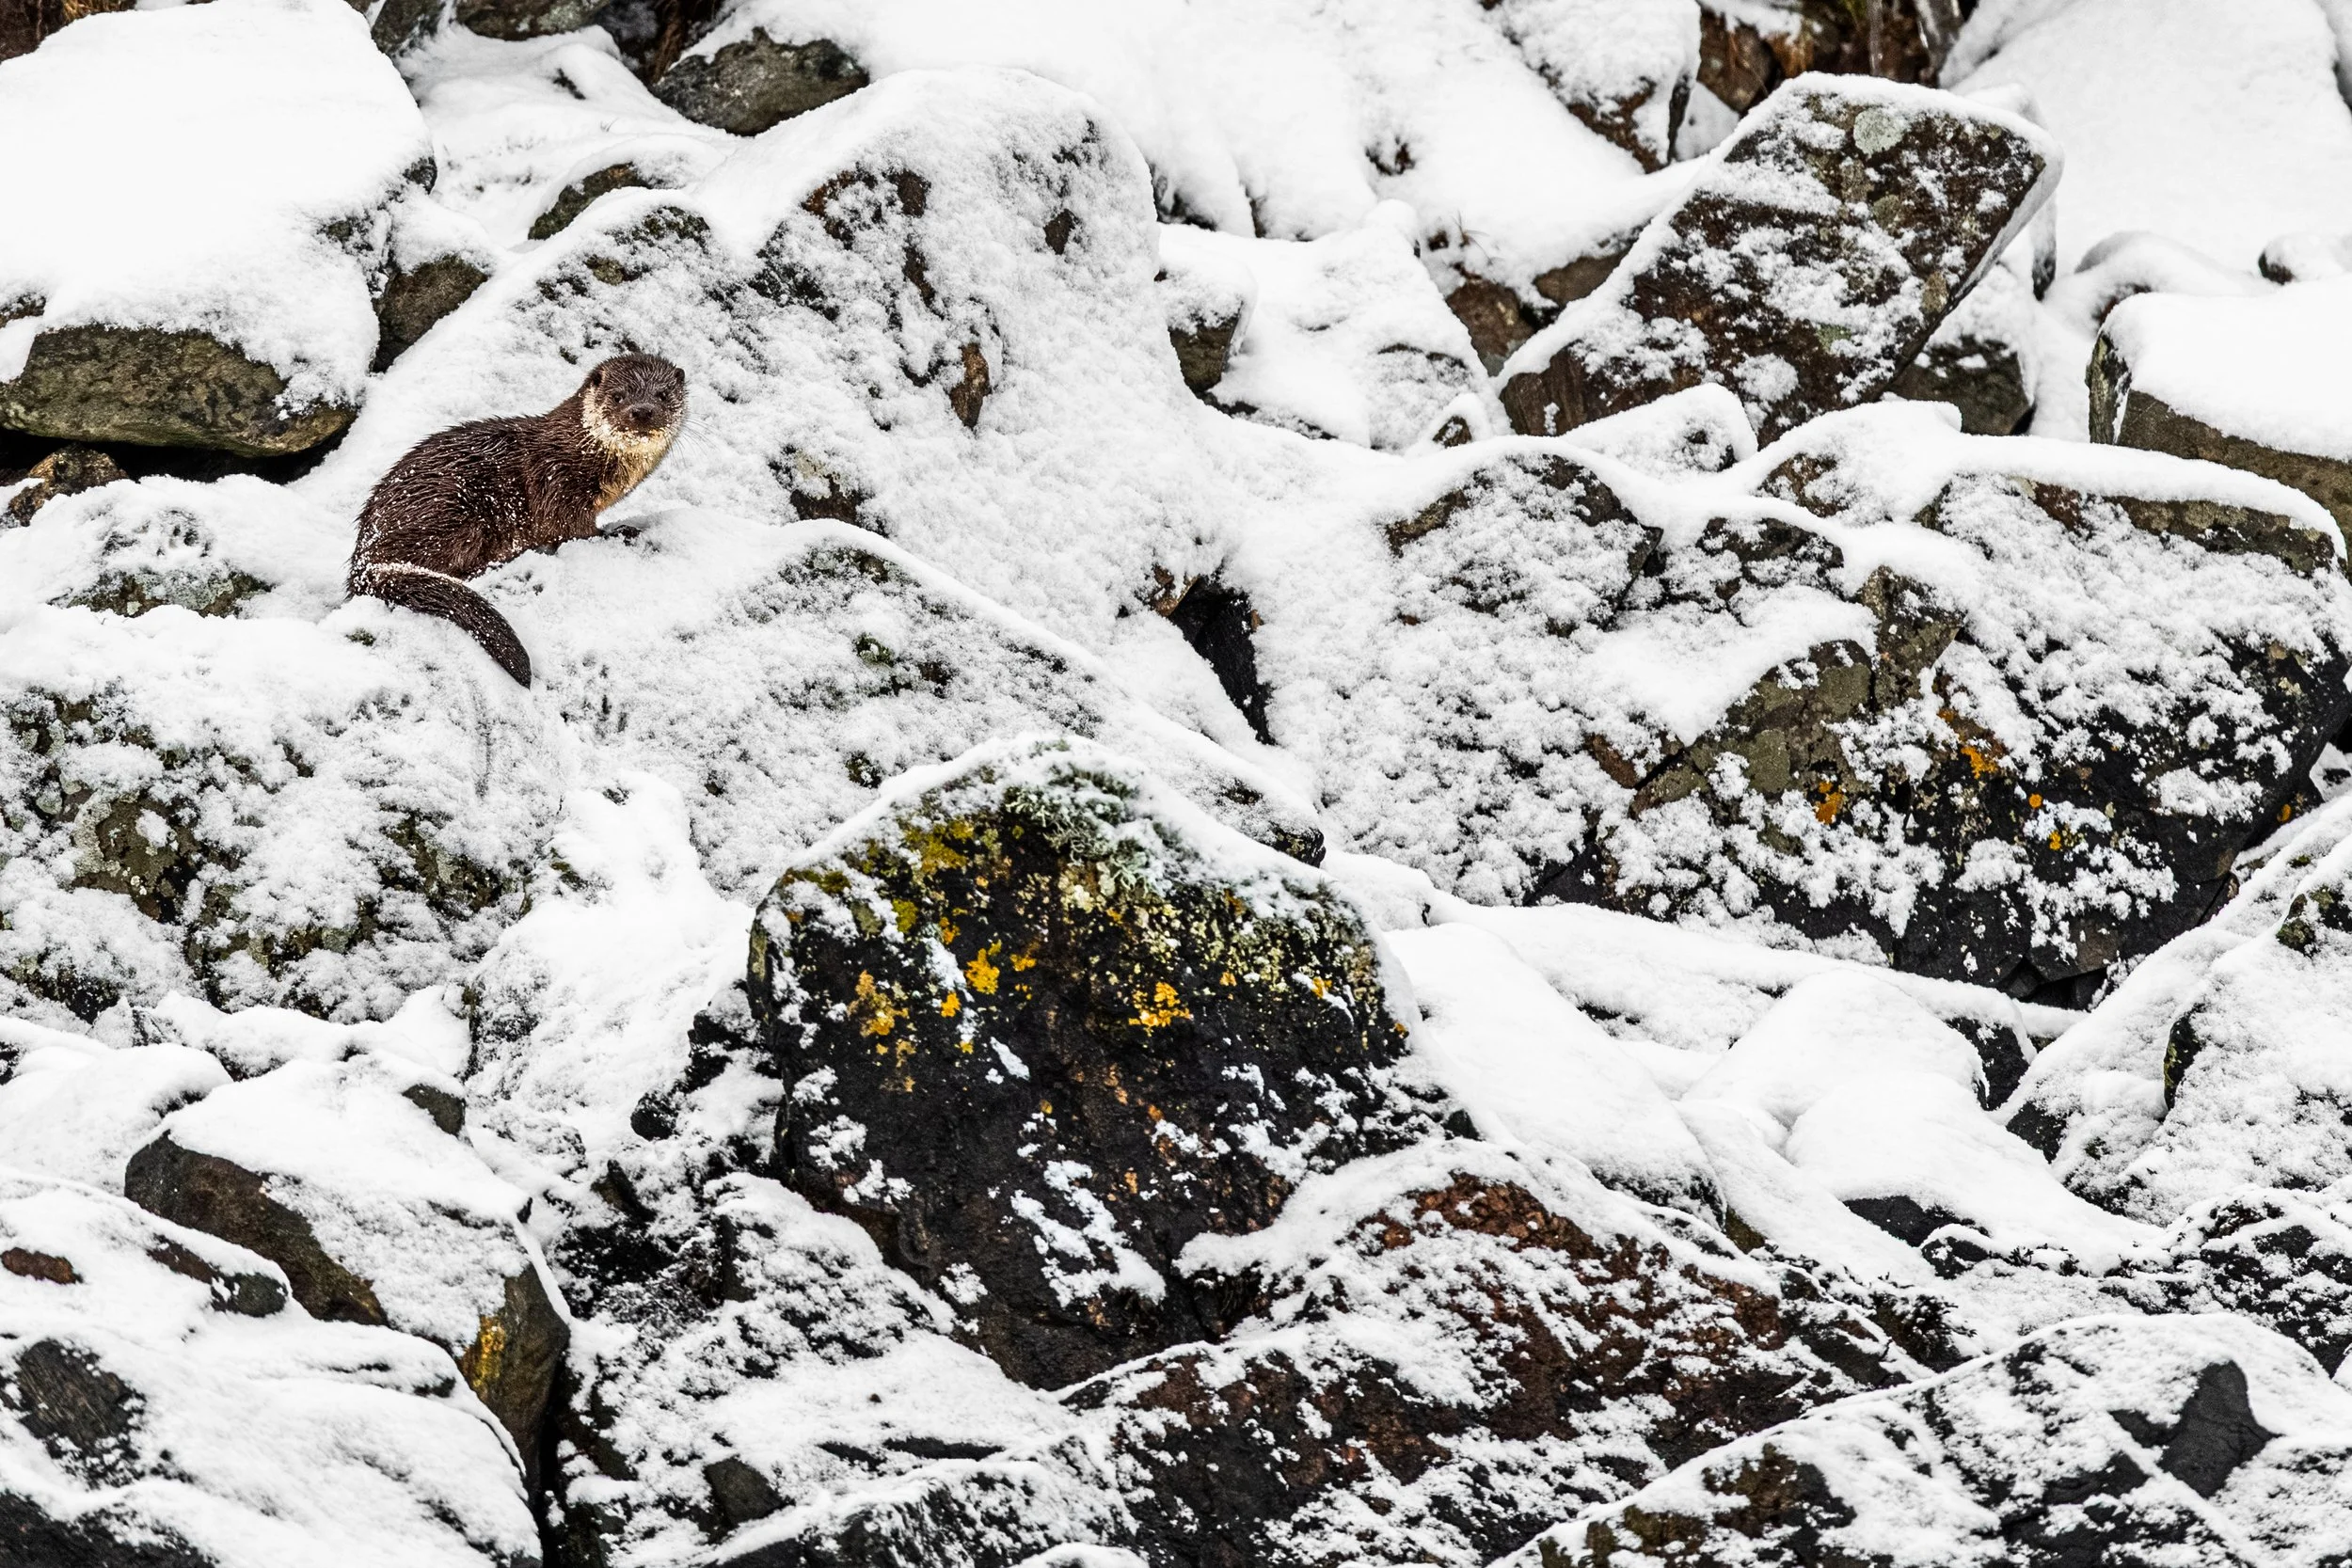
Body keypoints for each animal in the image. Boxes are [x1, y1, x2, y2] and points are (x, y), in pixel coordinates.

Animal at [347, 353, 687, 685]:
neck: (581, 451)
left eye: (662, 394)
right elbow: (572, 528)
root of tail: (362, 559)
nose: (642, 411)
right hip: (449, 510)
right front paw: (619, 531)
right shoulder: (556, 482)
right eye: (618, 396)